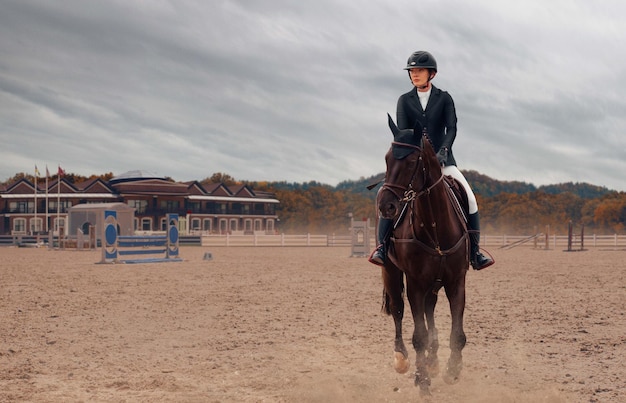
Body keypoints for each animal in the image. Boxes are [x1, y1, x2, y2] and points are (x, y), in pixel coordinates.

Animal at [376, 115, 468, 396]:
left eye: (410, 161)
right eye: (387, 159)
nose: (386, 206)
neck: (435, 225)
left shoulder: (456, 281)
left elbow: (457, 334)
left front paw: (451, 371)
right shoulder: (415, 283)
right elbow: (418, 335)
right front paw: (423, 380)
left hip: (434, 284)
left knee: (429, 313)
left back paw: (434, 362)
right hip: (391, 272)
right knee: (398, 311)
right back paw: (403, 360)